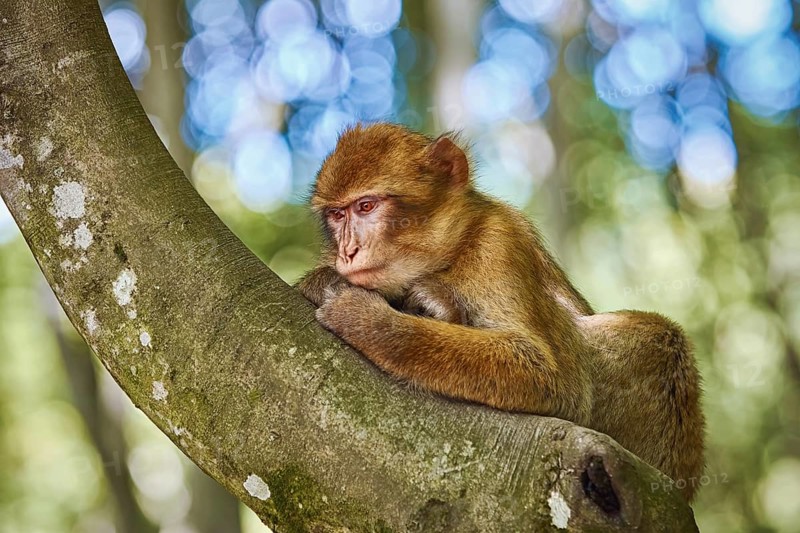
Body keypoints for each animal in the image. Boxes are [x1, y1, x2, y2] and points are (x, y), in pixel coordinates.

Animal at [297, 123, 705, 501]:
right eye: (337, 215)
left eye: (366, 206)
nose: (347, 251)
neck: (451, 253)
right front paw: (326, 282)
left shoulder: (499, 242)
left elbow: (554, 378)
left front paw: (370, 320)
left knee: (658, 334)